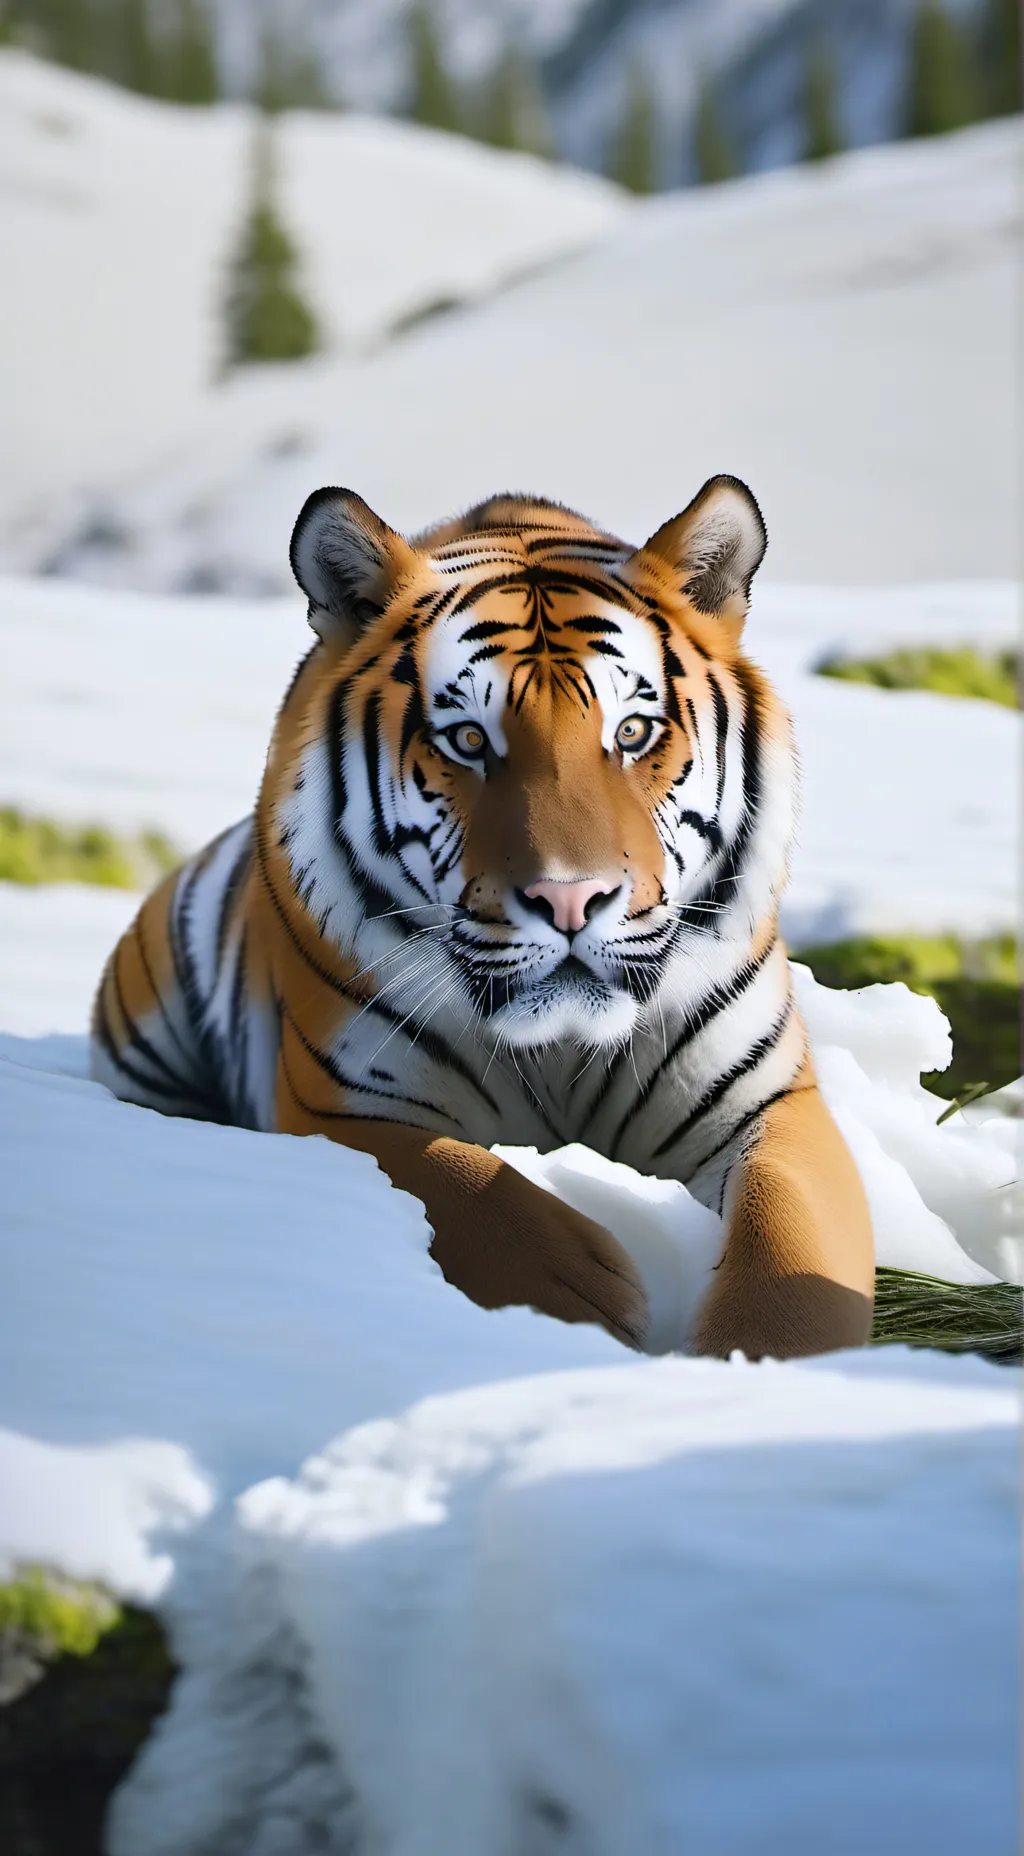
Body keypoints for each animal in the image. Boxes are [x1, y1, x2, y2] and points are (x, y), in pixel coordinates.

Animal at [91, 475, 874, 1359]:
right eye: (468, 739)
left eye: (633, 731)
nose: (570, 900)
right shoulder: (341, 1107)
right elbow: (465, 1189)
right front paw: (584, 1302)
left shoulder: (770, 1105)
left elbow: (791, 1257)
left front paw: (758, 1365)